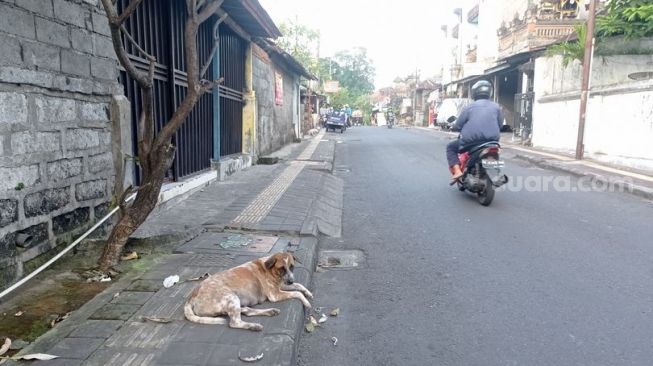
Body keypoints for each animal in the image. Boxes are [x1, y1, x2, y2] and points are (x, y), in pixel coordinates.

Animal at [183, 253, 314, 330]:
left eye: (292, 266)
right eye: (281, 268)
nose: (291, 281)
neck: (270, 270)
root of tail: (191, 297)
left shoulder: (282, 285)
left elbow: (299, 286)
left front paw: (308, 293)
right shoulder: (275, 294)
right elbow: (297, 293)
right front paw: (306, 302)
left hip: (234, 302)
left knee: (247, 311)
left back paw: (269, 312)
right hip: (231, 297)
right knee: (235, 322)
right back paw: (253, 326)